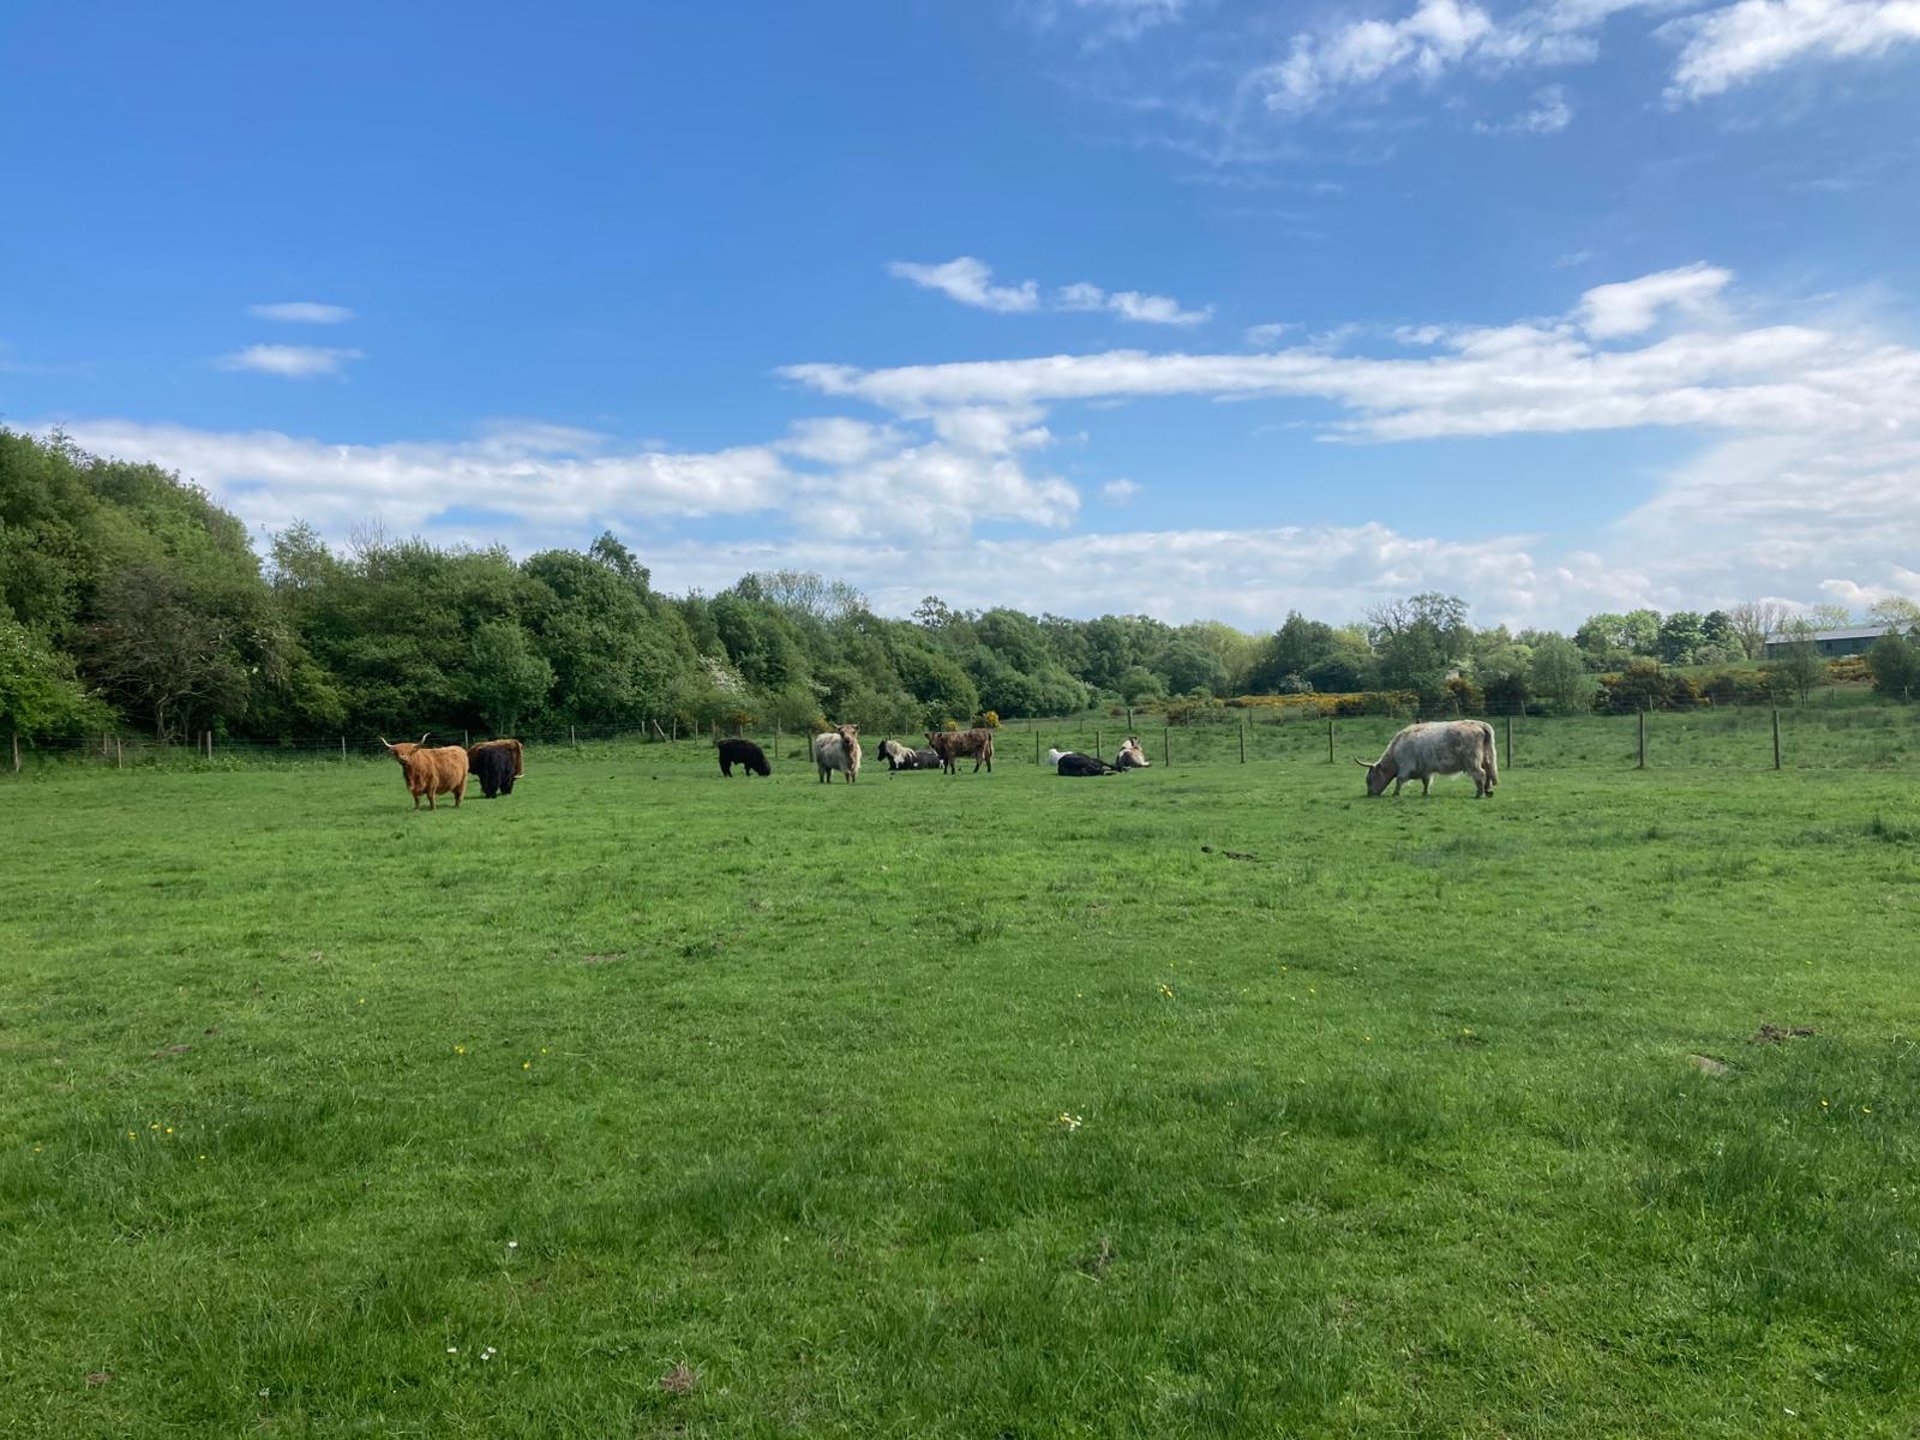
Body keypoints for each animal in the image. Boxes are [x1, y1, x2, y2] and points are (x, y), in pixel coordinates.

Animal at [1359, 721, 1505, 802]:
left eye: (1370, 779)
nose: (1369, 794)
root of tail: (1478, 724)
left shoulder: (1406, 766)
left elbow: (1399, 780)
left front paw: (1396, 793)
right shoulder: (1425, 769)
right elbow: (1426, 781)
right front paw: (1425, 793)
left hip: (1472, 761)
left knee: (1480, 774)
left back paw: (1479, 794)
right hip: (1486, 759)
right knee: (1488, 773)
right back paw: (1488, 791)